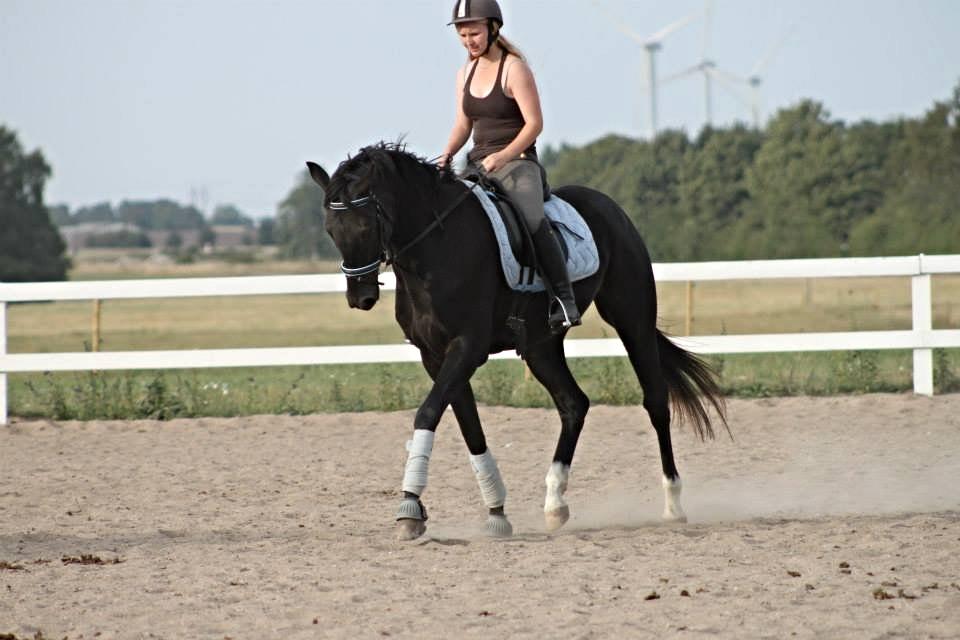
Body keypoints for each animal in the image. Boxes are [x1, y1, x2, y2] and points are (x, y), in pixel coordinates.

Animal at [312, 142, 724, 536]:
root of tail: (611, 207)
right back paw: (555, 504)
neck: (436, 252)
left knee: (655, 401)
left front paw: (410, 507)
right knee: (574, 404)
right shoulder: (435, 356)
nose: (360, 297)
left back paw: (673, 504)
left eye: (365, 227)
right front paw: (496, 512)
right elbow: (470, 428)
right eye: (331, 230)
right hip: (541, 346)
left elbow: (428, 413)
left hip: (632, 319)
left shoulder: (467, 348)